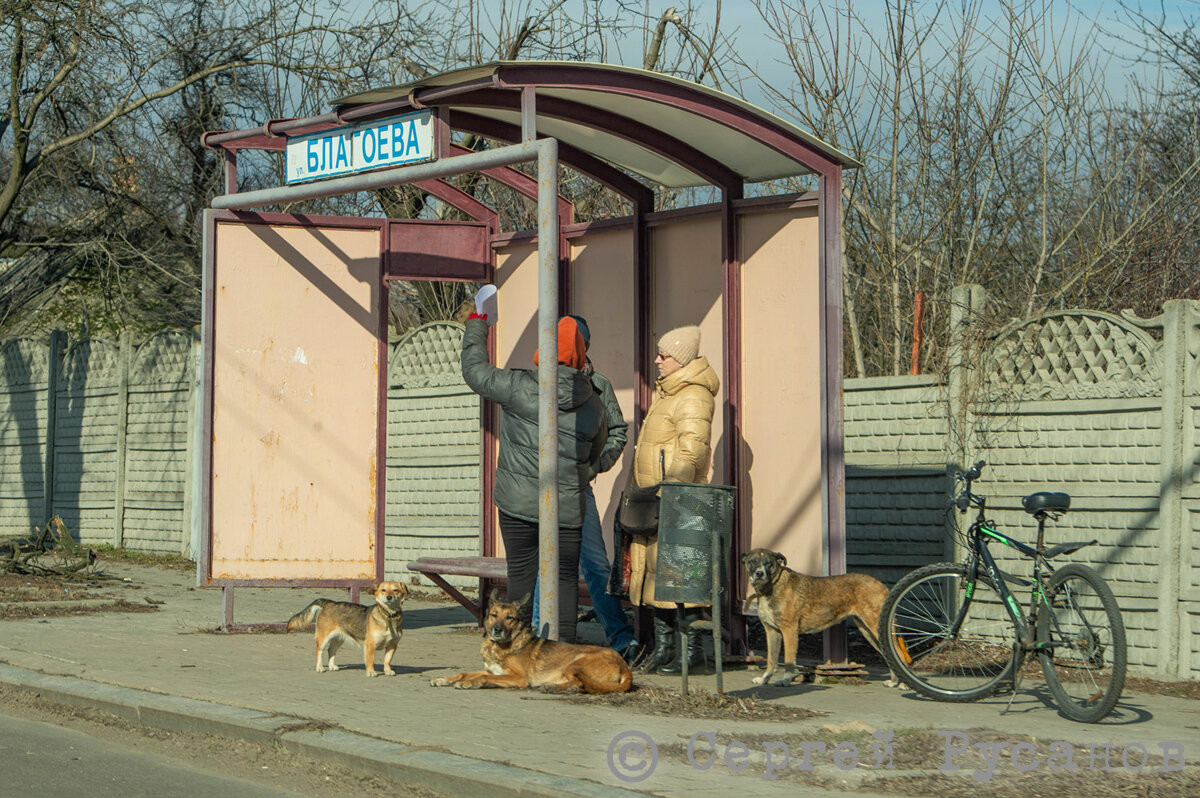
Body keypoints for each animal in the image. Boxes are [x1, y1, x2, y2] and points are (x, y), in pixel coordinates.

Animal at [432, 588, 638, 696]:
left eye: (510, 618)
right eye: (494, 615)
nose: (497, 630)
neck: (500, 646)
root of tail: (623, 664)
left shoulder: (518, 678)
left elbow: (483, 678)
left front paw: (471, 683)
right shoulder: (491, 670)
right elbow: (465, 673)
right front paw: (444, 679)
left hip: (575, 663)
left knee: (580, 683)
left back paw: (554, 687)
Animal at [739, 547, 902, 686]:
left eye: (768, 563)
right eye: (752, 561)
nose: (759, 573)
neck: (774, 585)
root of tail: (882, 585)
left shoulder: (789, 631)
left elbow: (789, 660)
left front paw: (785, 679)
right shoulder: (772, 632)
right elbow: (771, 661)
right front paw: (764, 679)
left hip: (875, 628)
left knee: (898, 652)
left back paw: (903, 684)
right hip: (868, 631)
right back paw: (895, 682)